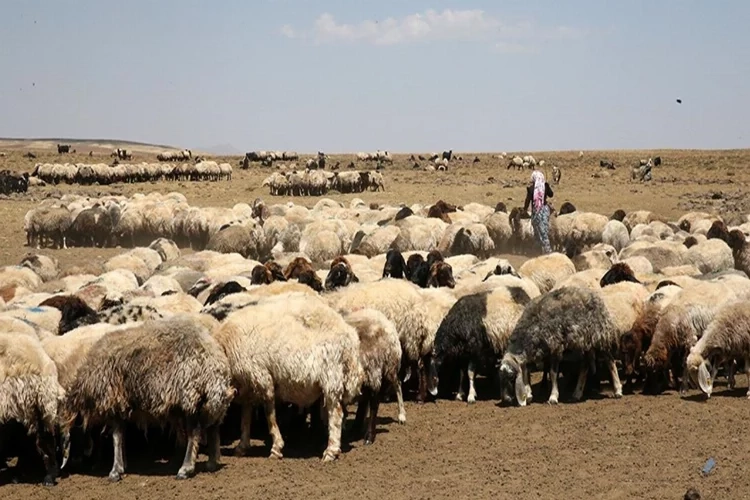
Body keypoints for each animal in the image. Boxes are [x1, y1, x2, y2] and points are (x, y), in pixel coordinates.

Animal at [64, 316, 235, 480]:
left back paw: (185, 468)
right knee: (213, 428)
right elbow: (121, 436)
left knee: (194, 433)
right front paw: (123, 464)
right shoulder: (122, 404)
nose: (73, 465)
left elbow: (116, 437)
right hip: (211, 402)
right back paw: (211, 463)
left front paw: (115, 470)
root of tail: (213, 359)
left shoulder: (114, 401)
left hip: (190, 395)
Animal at [213, 294, 362, 462]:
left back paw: (330, 451)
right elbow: (245, 416)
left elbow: (269, 415)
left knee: (336, 413)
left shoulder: (261, 377)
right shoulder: (247, 386)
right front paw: (242, 446)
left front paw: (276, 448)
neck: (226, 348)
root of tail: (350, 335)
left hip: (331, 376)